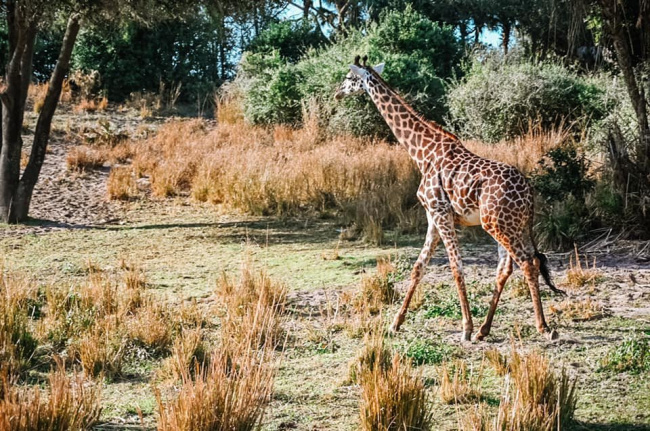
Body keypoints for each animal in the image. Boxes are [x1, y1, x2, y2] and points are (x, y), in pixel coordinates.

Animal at [334, 57, 560, 342]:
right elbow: (419, 267)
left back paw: (544, 327)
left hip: (498, 225)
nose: (337, 92)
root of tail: (529, 192)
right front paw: (395, 324)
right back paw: (485, 330)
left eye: (349, 78)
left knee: (528, 263)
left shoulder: (441, 213)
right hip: (511, 224)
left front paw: (465, 328)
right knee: (507, 267)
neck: (422, 153)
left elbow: (456, 267)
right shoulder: (432, 216)